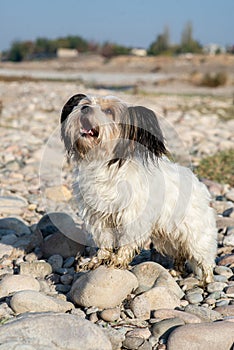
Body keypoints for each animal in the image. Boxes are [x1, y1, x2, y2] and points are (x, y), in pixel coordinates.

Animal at [60, 93, 218, 284]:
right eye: (86, 103)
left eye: (108, 111)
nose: (84, 109)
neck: (104, 164)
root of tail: (199, 185)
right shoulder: (99, 217)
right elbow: (104, 240)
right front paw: (97, 260)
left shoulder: (133, 216)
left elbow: (127, 241)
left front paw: (118, 260)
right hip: (168, 235)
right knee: (179, 253)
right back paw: (175, 271)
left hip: (195, 235)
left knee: (204, 258)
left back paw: (206, 281)